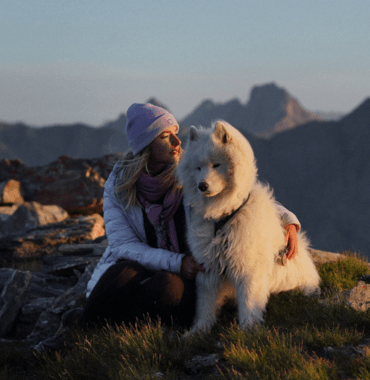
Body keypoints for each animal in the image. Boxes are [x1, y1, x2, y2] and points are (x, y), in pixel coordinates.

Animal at [176, 120, 318, 332]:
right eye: (198, 167)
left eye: (216, 164)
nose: (202, 186)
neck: (224, 217)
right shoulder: (209, 267)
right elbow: (205, 305)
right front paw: (198, 331)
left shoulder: (249, 268)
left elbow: (250, 301)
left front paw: (248, 329)